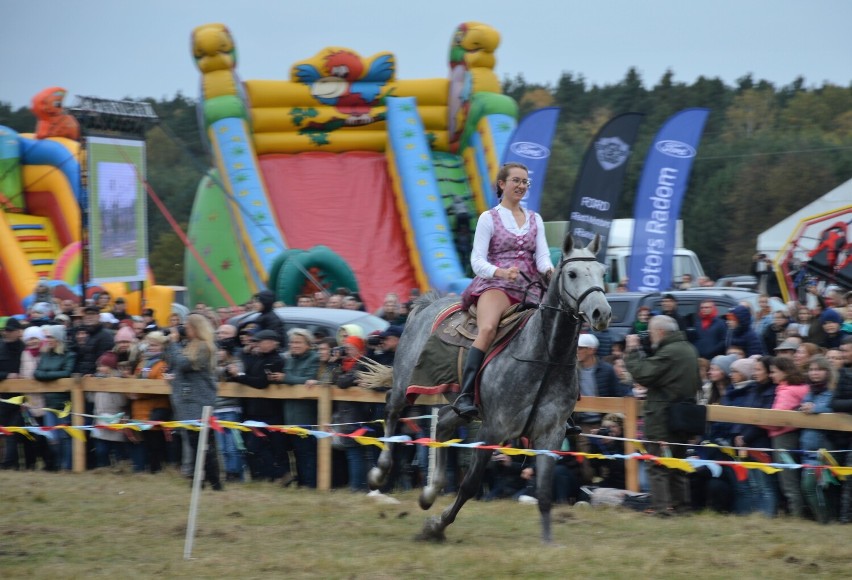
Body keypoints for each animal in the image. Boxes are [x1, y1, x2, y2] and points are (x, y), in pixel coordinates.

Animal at [370, 233, 608, 540]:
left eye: (603, 272)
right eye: (573, 273)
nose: (602, 312)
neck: (544, 356)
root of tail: (424, 307)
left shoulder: (550, 434)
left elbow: (544, 494)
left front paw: (548, 542)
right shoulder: (493, 430)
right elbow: (470, 485)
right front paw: (436, 526)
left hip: (458, 406)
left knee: (443, 424)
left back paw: (430, 491)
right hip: (405, 385)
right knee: (391, 409)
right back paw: (380, 474)